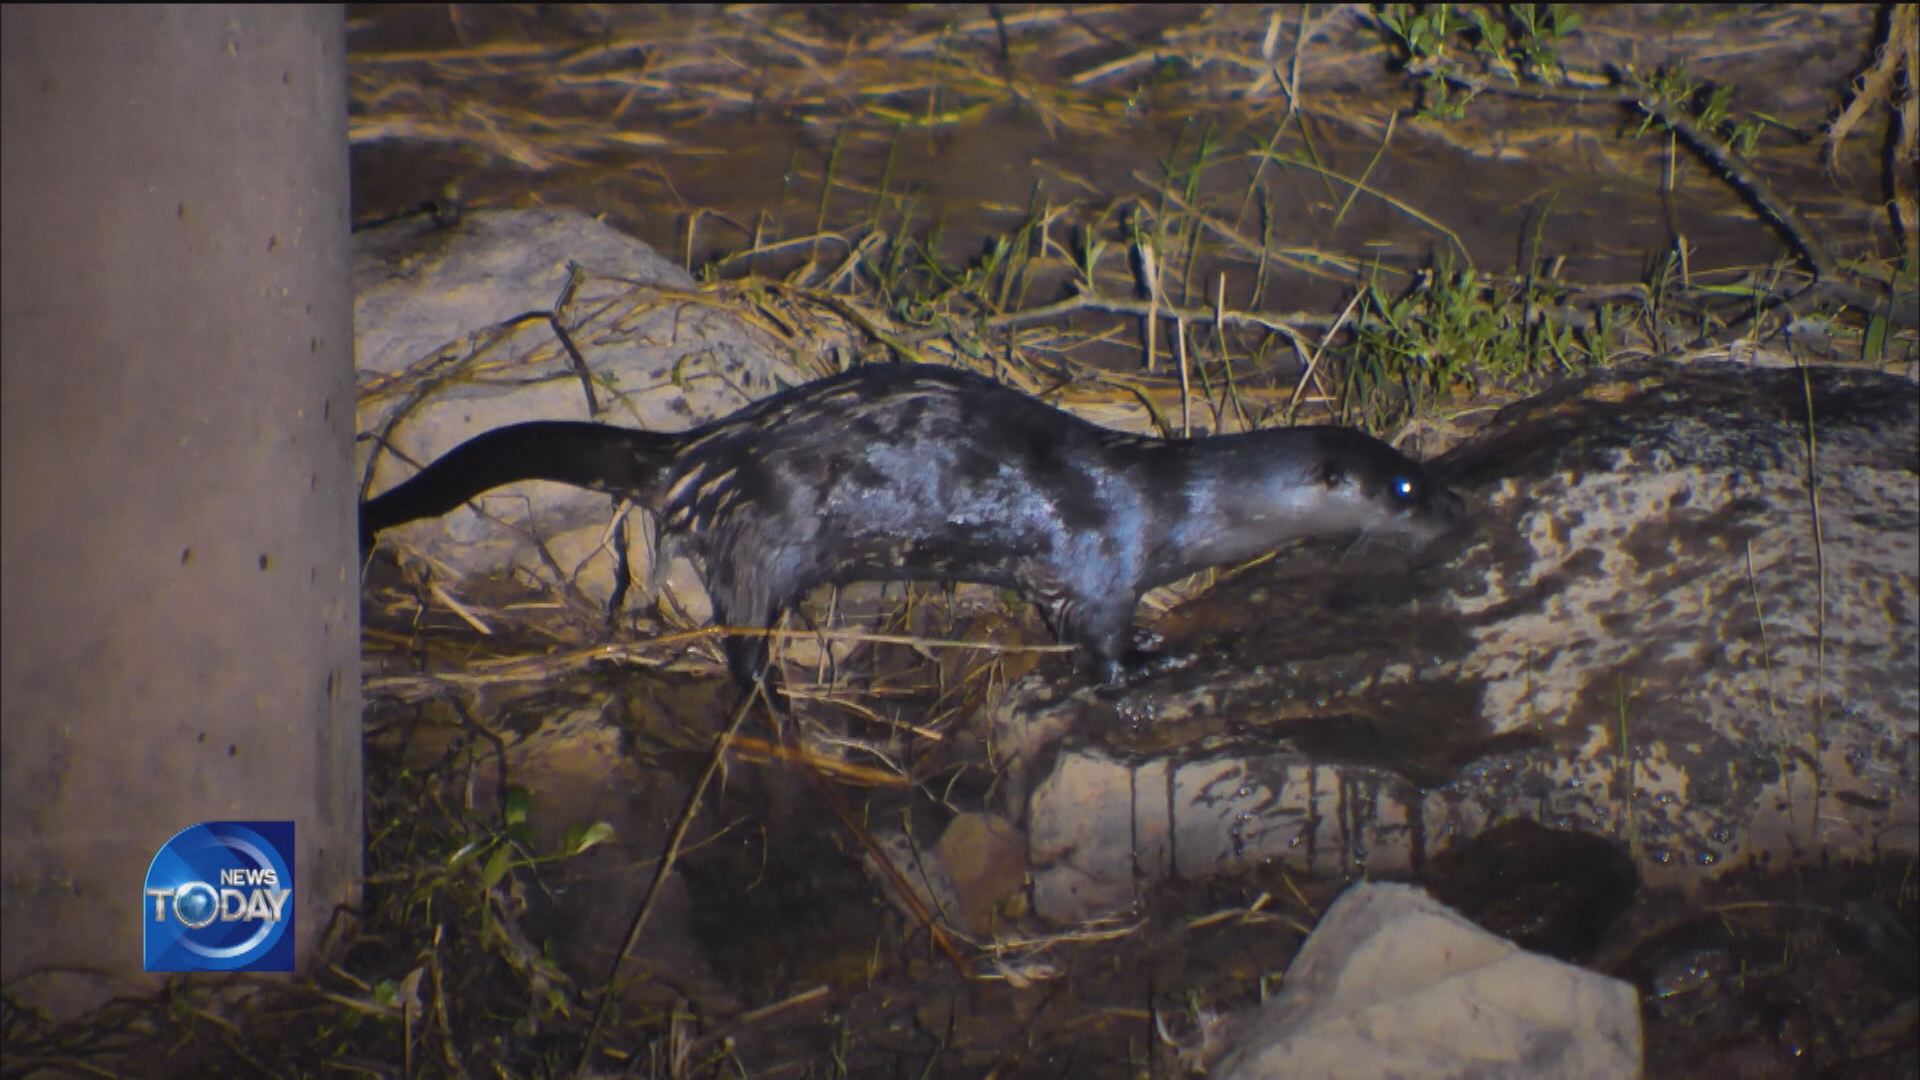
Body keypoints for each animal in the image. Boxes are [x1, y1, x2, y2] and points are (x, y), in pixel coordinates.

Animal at [360, 363, 1459, 687]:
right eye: (1403, 491)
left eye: (1424, 471)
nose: (1457, 505)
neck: (1169, 504)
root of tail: (695, 454)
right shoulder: (1099, 559)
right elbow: (1102, 649)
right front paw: (1163, 658)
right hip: (765, 543)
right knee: (741, 638)